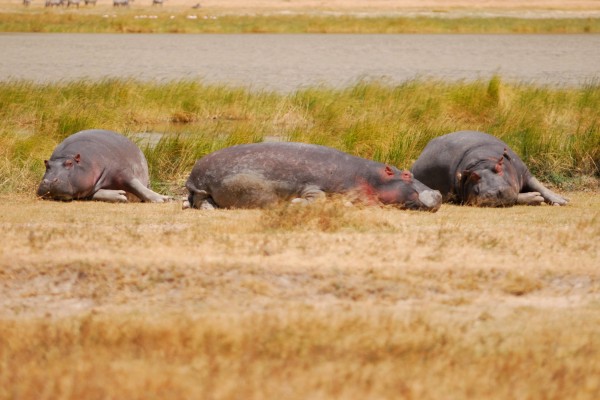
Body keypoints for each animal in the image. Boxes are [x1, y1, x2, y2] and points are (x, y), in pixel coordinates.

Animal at [37, 129, 171, 203]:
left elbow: (137, 186)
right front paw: (121, 195)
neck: (67, 155)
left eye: (69, 163)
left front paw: (164, 199)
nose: (49, 181)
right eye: (47, 164)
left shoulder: (122, 171)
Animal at [183, 143, 440, 212]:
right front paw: (296, 203)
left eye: (412, 172)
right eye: (405, 174)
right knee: (202, 200)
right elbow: (317, 196)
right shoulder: (314, 186)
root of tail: (191, 175)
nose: (437, 193)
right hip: (204, 186)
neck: (369, 177)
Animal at [410, 130, 568, 208]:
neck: (483, 162)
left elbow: (539, 185)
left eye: (499, 168)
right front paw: (536, 198)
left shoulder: (523, 171)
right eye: (476, 188)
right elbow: (516, 196)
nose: (491, 193)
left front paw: (563, 201)